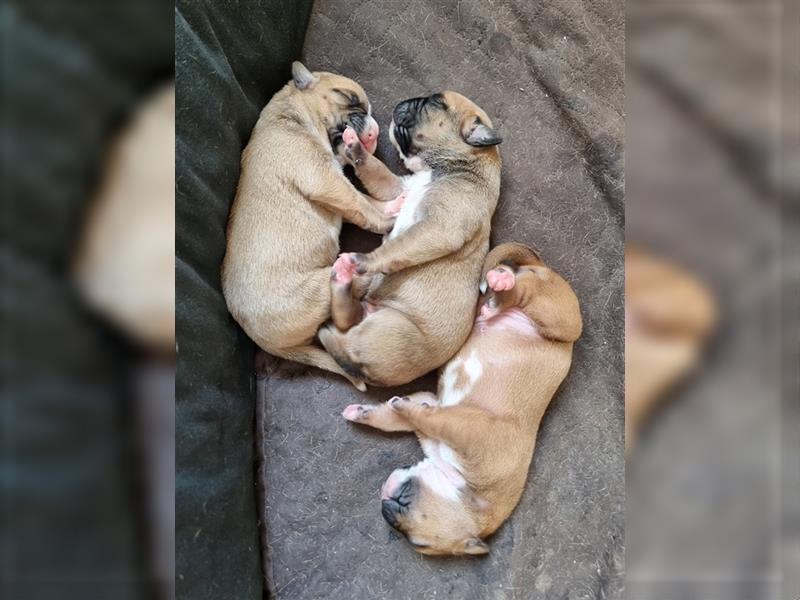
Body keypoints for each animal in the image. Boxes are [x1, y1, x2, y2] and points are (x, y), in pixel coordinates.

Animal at [220, 61, 396, 390]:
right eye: (348, 98)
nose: (373, 126)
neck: (294, 117)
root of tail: (271, 345)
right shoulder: (327, 181)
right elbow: (362, 206)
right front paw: (389, 220)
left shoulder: (337, 189)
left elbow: (364, 200)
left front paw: (395, 204)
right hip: (319, 286)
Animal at [318, 91, 500, 386]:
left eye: (436, 103)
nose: (406, 101)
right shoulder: (397, 187)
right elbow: (375, 170)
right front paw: (353, 144)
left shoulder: (438, 227)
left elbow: (397, 248)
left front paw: (366, 259)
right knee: (347, 318)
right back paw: (342, 278)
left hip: (387, 332)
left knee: (348, 341)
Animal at [340, 241, 580, 556]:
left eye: (418, 543)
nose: (385, 510)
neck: (467, 488)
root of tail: (543, 268)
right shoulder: (462, 429)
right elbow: (417, 417)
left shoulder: (448, 418)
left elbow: (407, 416)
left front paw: (369, 411)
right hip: (558, 315)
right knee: (523, 289)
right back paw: (501, 284)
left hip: (558, 315)